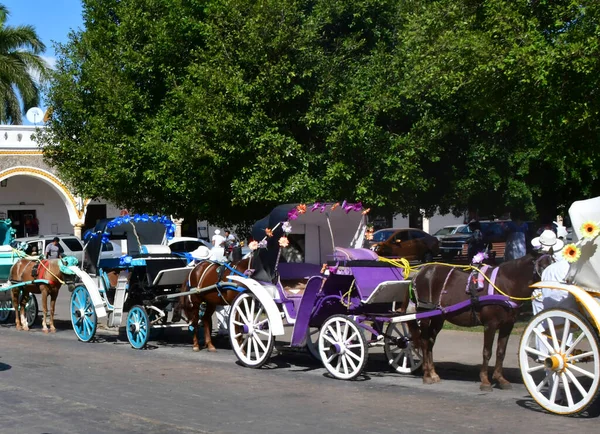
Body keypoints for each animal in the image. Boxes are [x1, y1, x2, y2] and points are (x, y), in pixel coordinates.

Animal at [408, 253, 552, 392]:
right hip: (424, 314)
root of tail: (420, 271)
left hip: (438, 318)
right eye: (543, 267)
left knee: (430, 342)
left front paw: (500, 379)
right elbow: (487, 352)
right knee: (424, 342)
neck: (505, 284)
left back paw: (433, 373)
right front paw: (485, 381)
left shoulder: (507, 325)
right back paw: (427, 375)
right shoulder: (490, 324)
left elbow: (501, 352)